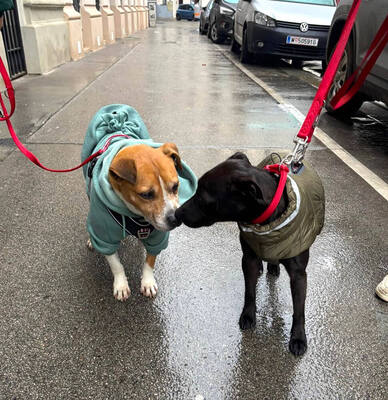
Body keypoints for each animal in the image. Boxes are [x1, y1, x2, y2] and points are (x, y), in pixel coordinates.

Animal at [176, 153, 324, 356]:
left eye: (203, 199)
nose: (177, 213)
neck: (267, 224)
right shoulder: (248, 259)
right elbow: (250, 291)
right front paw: (248, 315)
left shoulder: (299, 274)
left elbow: (299, 309)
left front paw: (299, 337)